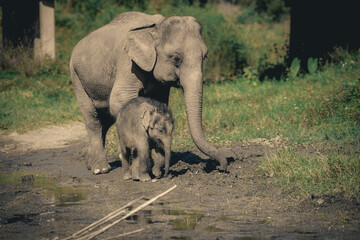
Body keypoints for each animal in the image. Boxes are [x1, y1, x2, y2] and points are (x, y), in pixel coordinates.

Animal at [70, 11, 238, 174]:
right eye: (176, 59)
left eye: (205, 56)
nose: (222, 166)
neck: (155, 28)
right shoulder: (127, 63)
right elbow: (119, 99)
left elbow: (159, 103)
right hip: (76, 77)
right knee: (92, 119)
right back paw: (101, 169)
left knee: (104, 120)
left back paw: (90, 164)